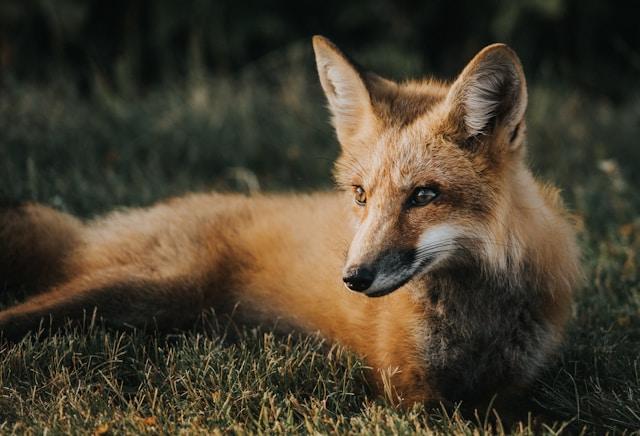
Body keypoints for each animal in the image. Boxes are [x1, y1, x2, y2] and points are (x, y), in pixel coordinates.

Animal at [0, 36, 581, 408]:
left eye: (423, 195)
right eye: (361, 195)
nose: (353, 278)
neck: (474, 318)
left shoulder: (514, 391)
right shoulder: (407, 389)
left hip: (150, 309)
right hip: (141, 288)